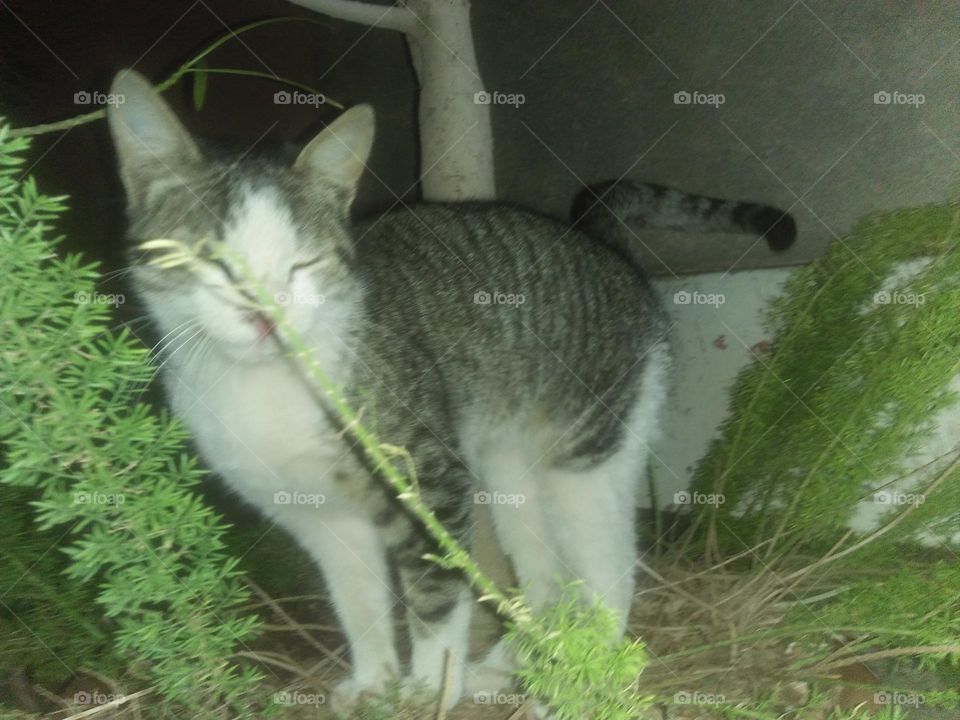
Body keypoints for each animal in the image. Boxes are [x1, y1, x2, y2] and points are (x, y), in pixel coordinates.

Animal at [107, 70, 796, 712]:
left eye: (304, 264)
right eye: (208, 258)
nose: (266, 313)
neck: (263, 384)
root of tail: (602, 246)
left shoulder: (430, 481)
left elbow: (435, 595)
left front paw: (432, 687)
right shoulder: (316, 516)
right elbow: (357, 601)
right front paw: (374, 680)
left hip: (588, 454)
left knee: (609, 570)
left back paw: (577, 684)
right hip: (511, 473)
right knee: (546, 579)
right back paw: (510, 663)